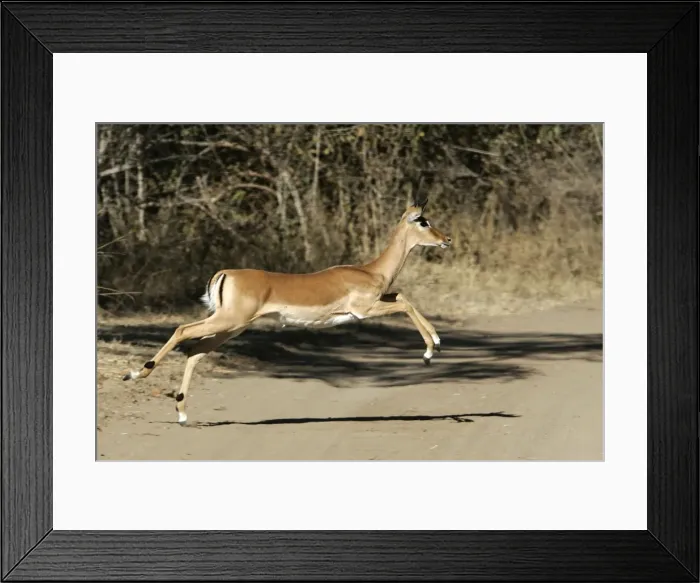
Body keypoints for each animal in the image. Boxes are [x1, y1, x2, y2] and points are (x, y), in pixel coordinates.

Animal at [122, 196, 452, 424]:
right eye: (423, 221)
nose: (447, 239)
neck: (371, 271)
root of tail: (224, 273)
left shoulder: (378, 300)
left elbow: (404, 296)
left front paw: (435, 344)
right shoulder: (364, 309)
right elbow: (405, 303)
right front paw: (429, 351)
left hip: (231, 327)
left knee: (195, 350)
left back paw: (181, 413)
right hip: (228, 321)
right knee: (182, 331)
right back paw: (135, 374)